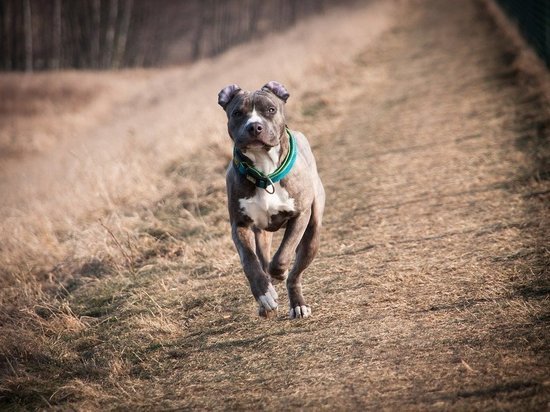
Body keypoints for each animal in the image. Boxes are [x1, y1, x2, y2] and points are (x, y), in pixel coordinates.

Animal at [218, 79, 326, 318]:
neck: (264, 171)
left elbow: (283, 256)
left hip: (313, 233)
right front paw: (264, 294)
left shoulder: (300, 216)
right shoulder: (239, 225)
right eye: (237, 113)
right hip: (262, 233)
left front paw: (279, 274)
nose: (254, 126)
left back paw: (297, 304)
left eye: (270, 109)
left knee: (295, 274)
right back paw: (266, 301)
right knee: (263, 258)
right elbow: (250, 262)